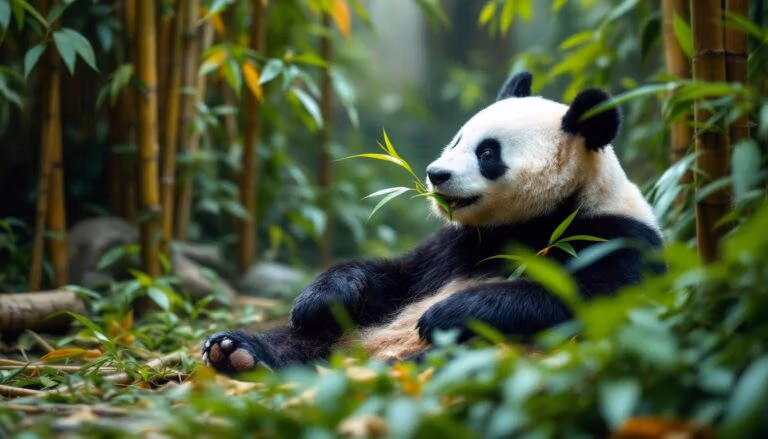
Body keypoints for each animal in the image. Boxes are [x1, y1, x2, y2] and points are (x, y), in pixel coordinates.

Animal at [201, 71, 664, 374]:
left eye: (488, 153)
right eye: (457, 140)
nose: (435, 174)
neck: (543, 216)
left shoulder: (613, 237)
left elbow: (584, 298)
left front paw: (447, 313)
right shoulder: (454, 245)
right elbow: (394, 277)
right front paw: (319, 298)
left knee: (460, 356)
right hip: (345, 335)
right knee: (301, 340)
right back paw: (237, 350)